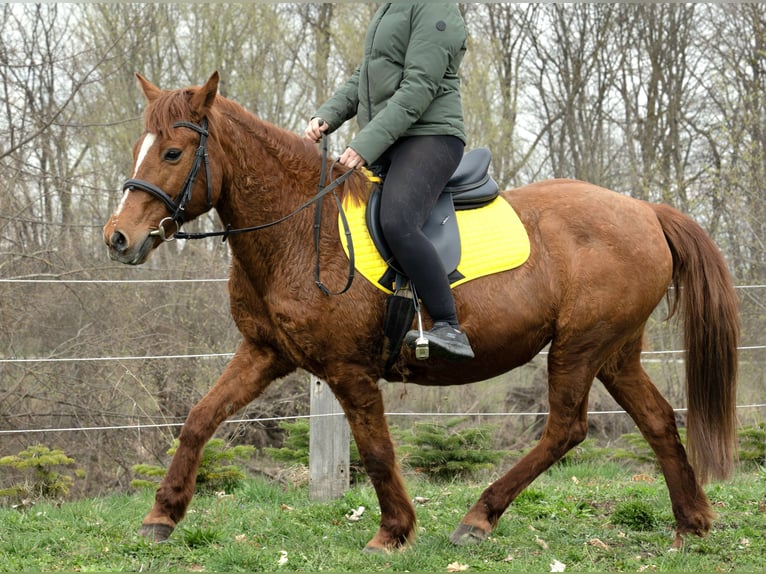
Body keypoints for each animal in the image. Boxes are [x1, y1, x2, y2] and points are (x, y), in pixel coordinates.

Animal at [103, 71, 739, 552]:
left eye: (173, 152)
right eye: (141, 148)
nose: (118, 238)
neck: (302, 229)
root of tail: (646, 211)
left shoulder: (348, 371)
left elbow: (377, 450)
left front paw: (394, 531)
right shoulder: (264, 353)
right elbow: (199, 419)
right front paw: (162, 515)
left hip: (580, 347)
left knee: (566, 429)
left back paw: (479, 517)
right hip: (614, 351)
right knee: (657, 421)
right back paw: (691, 525)